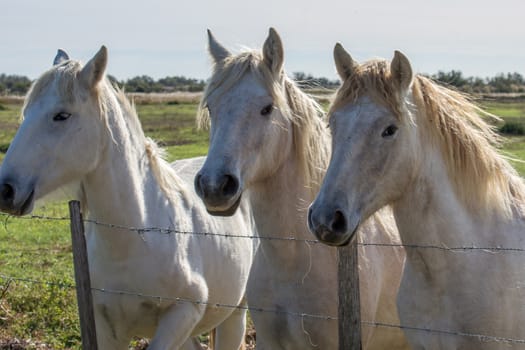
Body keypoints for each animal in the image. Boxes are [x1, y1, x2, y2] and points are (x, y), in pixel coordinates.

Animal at [0, 47, 256, 350]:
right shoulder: (107, 328)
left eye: (61, 115)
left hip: (235, 314)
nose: (5, 190)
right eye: (26, 112)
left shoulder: (182, 314)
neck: (135, 238)